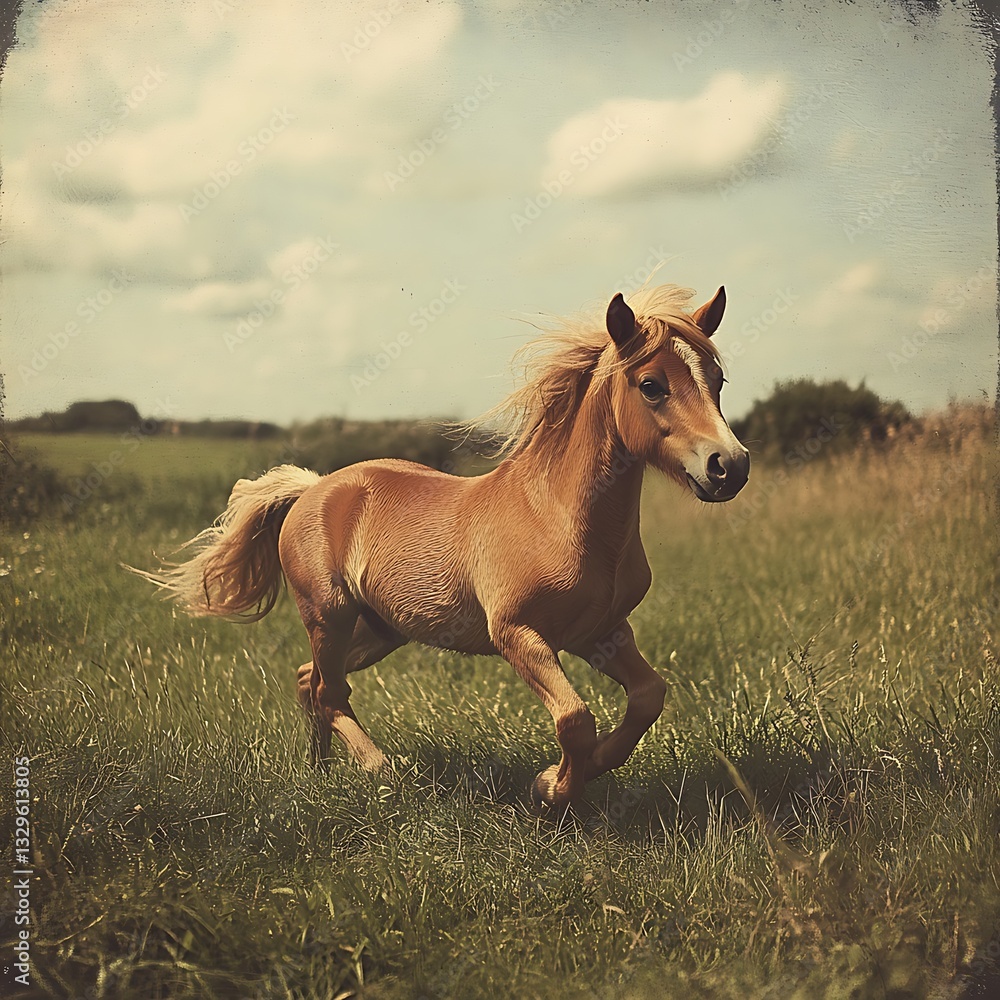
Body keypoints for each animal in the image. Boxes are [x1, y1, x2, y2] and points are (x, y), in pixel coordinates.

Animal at [138, 282, 749, 810]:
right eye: (651, 385)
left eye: (718, 380)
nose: (729, 466)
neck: (558, 518)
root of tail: (312, 488)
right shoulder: (519, 635)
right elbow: (574, 718)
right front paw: (552, 787)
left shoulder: (602, 632)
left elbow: (648, 697)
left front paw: (574, 773)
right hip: (329, 616)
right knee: (330, 692)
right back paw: (381, 771)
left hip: (380, 628)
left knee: (312, 682)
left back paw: (320, 772)